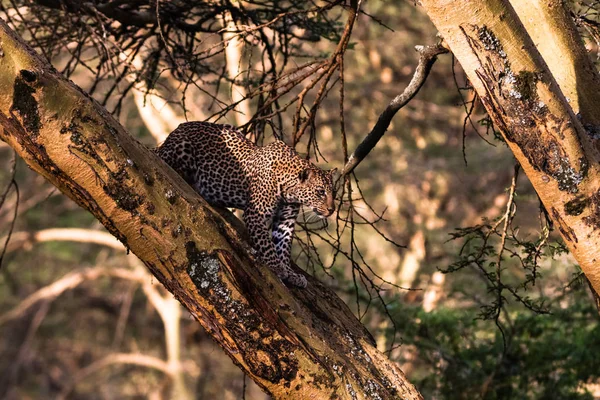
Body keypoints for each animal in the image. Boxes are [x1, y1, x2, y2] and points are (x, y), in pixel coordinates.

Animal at [155, 122, 336, 288]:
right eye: (320, 192)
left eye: (333, 192)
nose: (332, 209)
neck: (290, 189)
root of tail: (177, 129)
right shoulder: (256, 214)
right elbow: (267, 246)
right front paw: (278, 269)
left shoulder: (286, 221)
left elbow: (283, 247)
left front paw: (291, 274)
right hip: (181, 148)